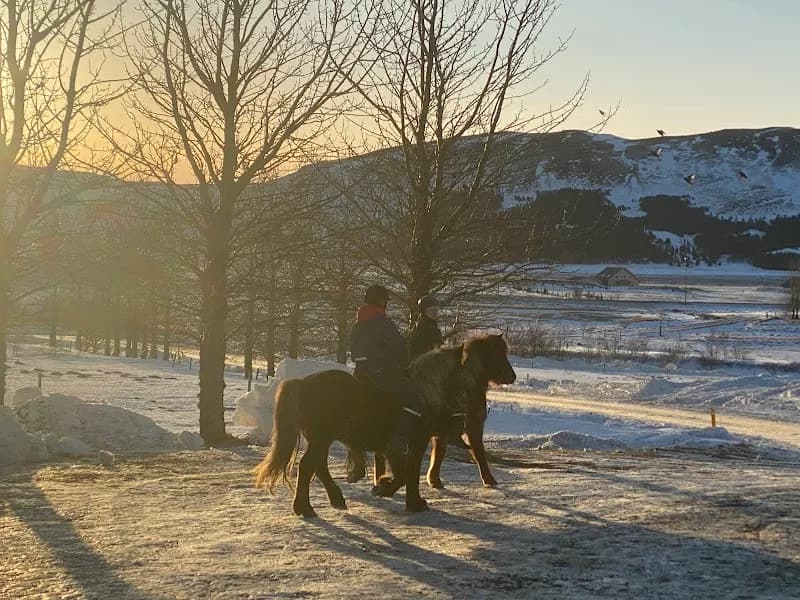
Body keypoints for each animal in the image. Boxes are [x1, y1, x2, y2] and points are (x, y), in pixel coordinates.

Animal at [346, 334, 515, 490]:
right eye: (498, 354)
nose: (512, 376)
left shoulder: (444, 431)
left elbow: (440, 453)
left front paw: (434, 480)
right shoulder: (472, 427)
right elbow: (478, 452)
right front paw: (489, 479)